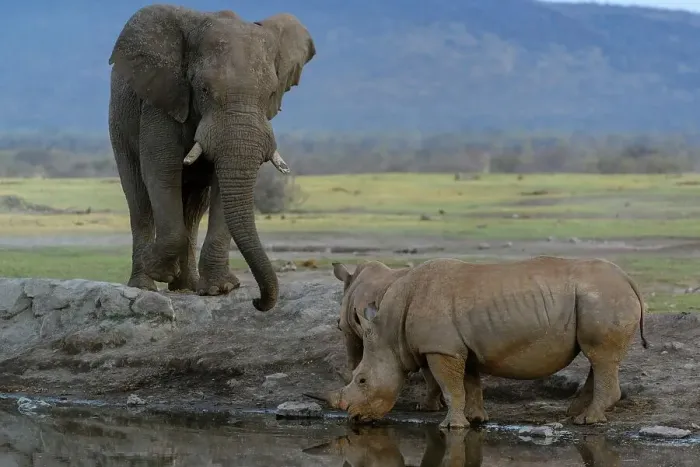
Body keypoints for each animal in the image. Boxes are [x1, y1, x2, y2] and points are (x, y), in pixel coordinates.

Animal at [107, 4, 316, 311]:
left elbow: (221, 185)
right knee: (139, 199)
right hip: (120, 127)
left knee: (195, 207)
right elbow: (161, 172)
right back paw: (144, 284)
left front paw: (219, 289)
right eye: (204, 90)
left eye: (270, 93)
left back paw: (186, 286)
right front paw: (159, 270)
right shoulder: (164, 99)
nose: (257, 301)